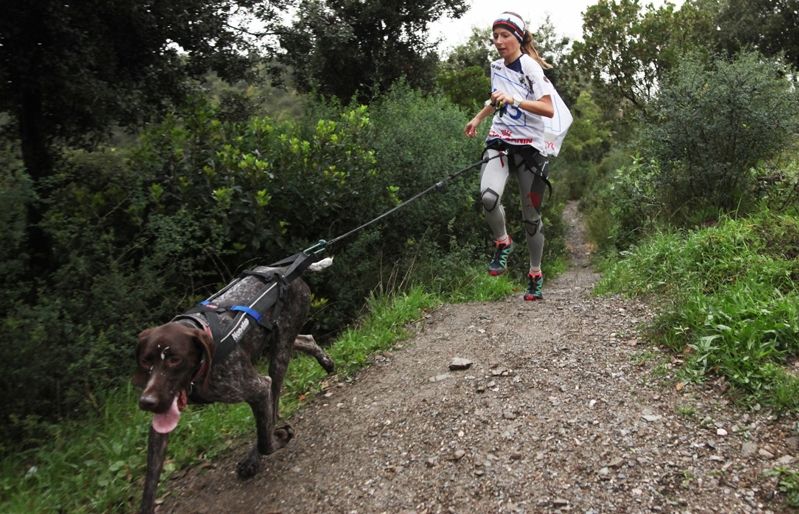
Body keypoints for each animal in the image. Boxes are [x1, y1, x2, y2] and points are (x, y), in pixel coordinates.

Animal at [133, 260, 332, 512]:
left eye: (175, 359)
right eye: (146, 360)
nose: (147, 402)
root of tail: (288, 272)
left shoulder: (258, 388)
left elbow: (265, 440)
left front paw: (276, 441)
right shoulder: (161, 424)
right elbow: (149, 485)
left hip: (279, 354)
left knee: (273, 409)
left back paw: (254, 457)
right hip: (278, 341)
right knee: (305, 339)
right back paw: (326, 361)